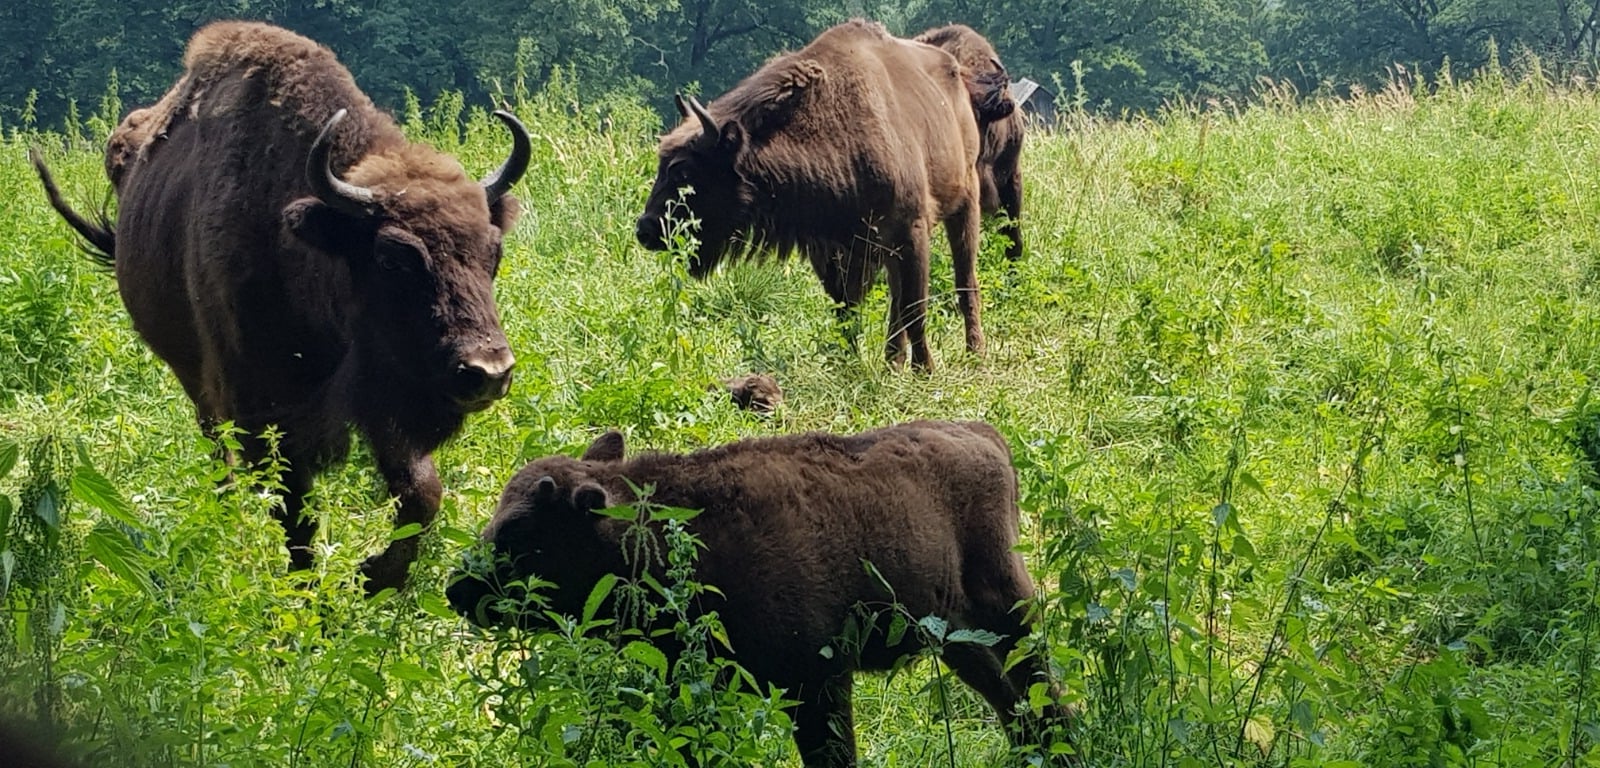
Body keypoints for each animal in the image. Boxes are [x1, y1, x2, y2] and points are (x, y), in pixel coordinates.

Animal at [32, 19, 531, 595]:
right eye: (392, 257)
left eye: (492, 251)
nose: (489, 371)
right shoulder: (264, 413)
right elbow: (297, 516)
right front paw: (307, 598)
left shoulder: (382, 403)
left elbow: (421, 495)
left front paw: (371, 576)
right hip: (193, 376)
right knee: (218, 454)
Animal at [451, 422, 1075, 764]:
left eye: (519, 532)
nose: (458, 590)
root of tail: (984, 436)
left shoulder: (817, 681)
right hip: (958, 638)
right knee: (1010, 700)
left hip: (1009, 610)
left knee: (1040, 685)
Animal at [630, 21, 1004, 371]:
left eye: (683, 171)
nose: (645, 229)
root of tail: (957, 74)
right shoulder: (832, 249)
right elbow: (849, 310)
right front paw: (849, 363)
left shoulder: (910, 231)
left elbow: (915, 307)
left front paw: (925, 370)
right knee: (898, 300)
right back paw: (892, 361)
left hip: (964, 204)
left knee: (964, 282)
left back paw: (975, 352)